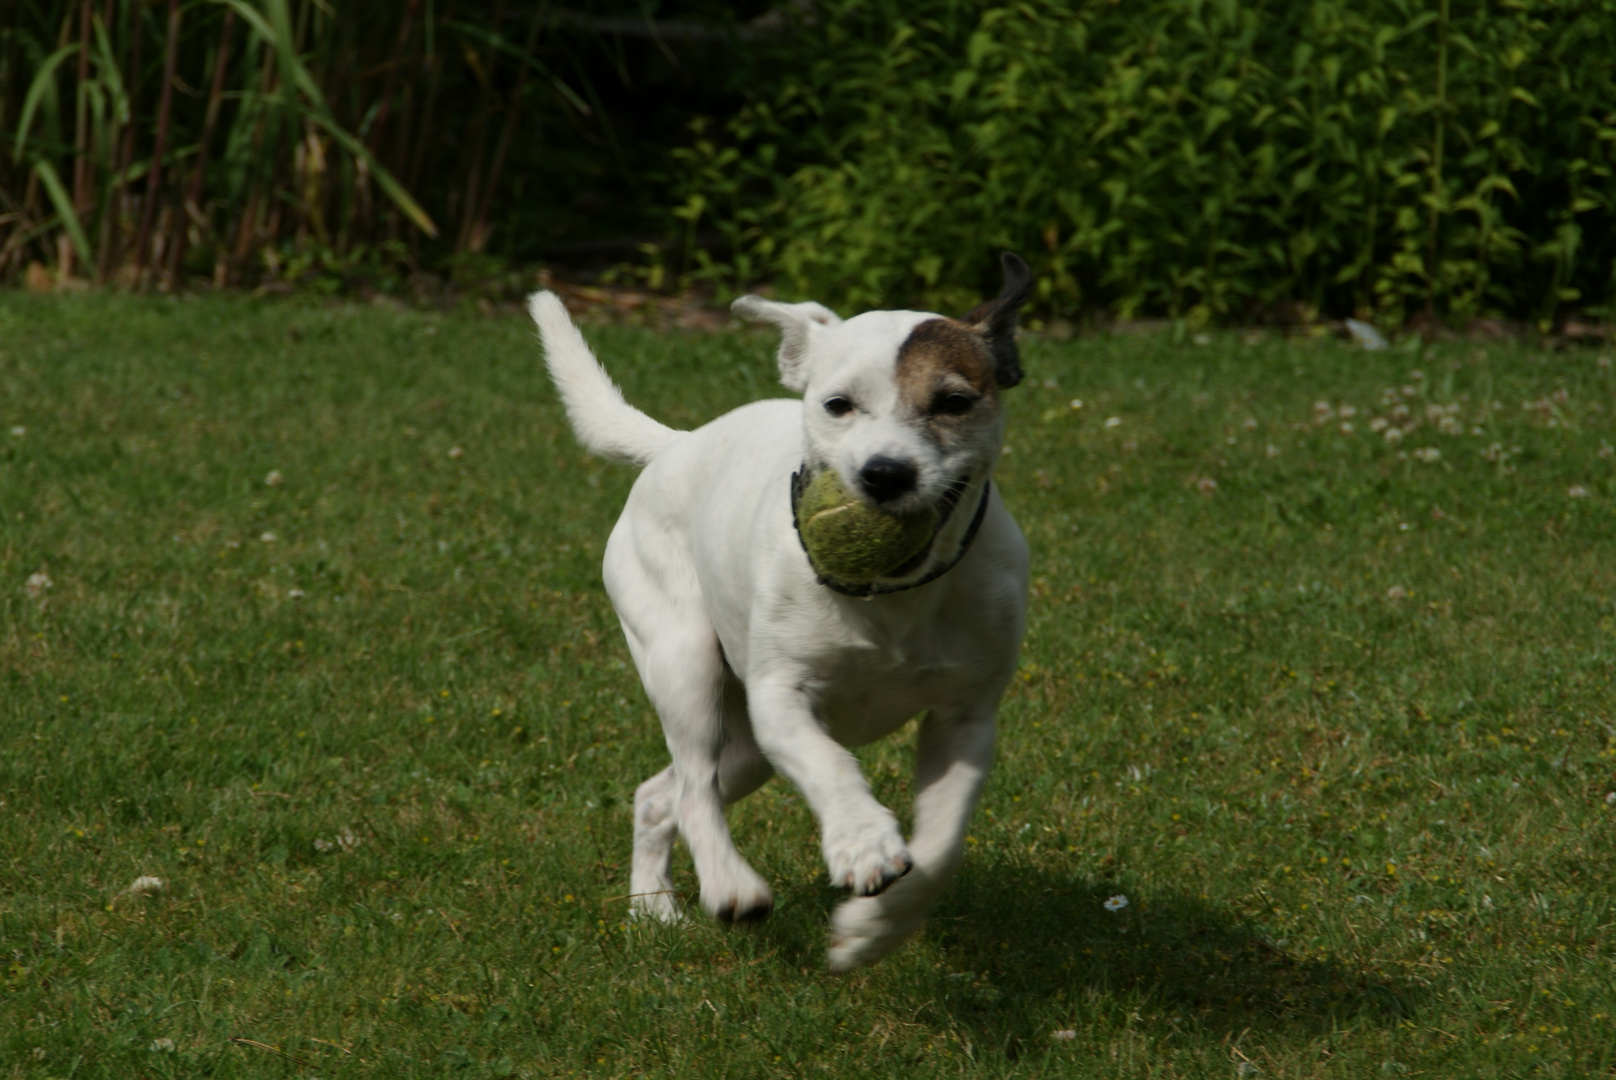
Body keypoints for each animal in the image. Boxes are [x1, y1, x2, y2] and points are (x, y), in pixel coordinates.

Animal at [530, 253, 1034, 970]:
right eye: (838, 405)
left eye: (955, 402)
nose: (885, 474)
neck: (891, 598)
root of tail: (678, 444)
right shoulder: (781, 700)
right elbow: (831, 764)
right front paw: (862, 840)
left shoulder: (965, 720)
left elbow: (940, 849)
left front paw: (872, 931)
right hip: (684, 664)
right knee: (693, 786)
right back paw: (728, 886)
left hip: (746, 749)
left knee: (660, 796)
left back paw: (652, 907)